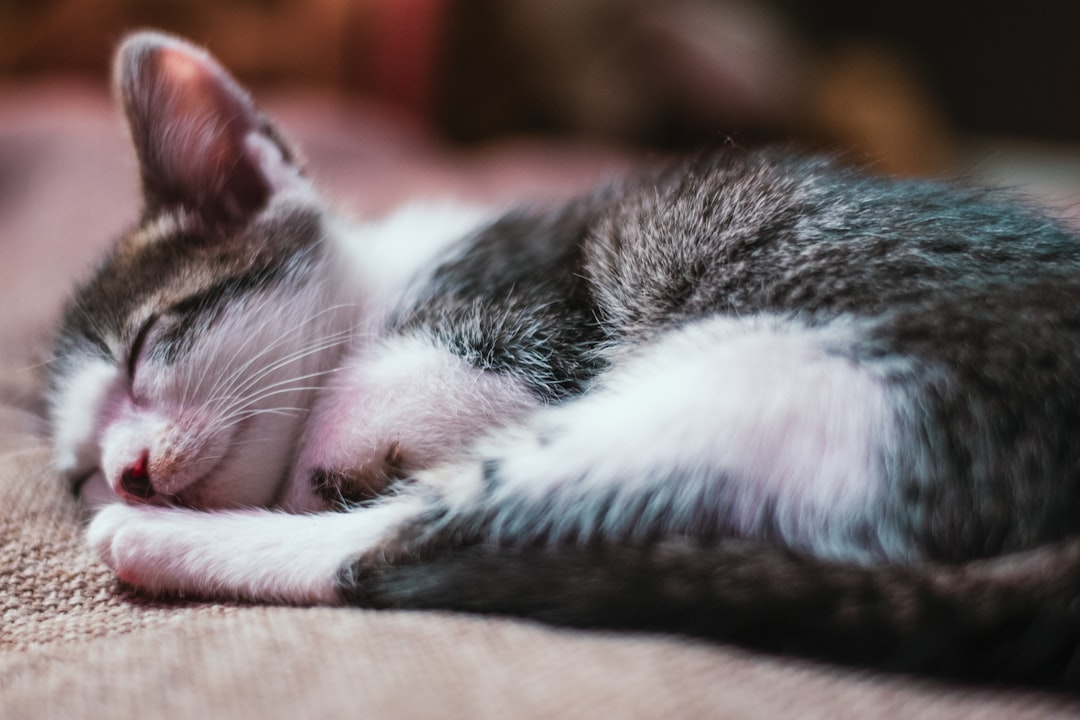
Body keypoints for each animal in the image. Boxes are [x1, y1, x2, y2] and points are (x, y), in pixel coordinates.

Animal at [54, 31, 1080, 690]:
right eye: (78, 471)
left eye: (147, 345)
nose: (126, 474)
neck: (383, 283)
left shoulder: (536, 311)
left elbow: (405, 385)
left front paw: (332, 447)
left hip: (775, 377)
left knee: (404, 546)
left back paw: (159, 542)